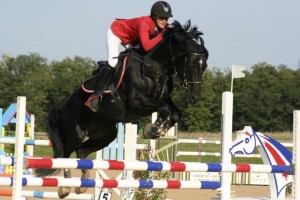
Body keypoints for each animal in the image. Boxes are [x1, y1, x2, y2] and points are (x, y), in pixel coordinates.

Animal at [35, 19, 209, 198]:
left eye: (204, 66)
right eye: (190, 65)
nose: (195, 97)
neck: (154, 68)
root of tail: (63, 103)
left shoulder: (164, 98)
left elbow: (175, 113)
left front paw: (159, 129)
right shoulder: (136, 103)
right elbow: (164, 110)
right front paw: (153, 129)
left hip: (106, 134)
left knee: (82, 151)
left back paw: (82, 185)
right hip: (75, 133)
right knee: (65, 154)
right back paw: (65, 188)